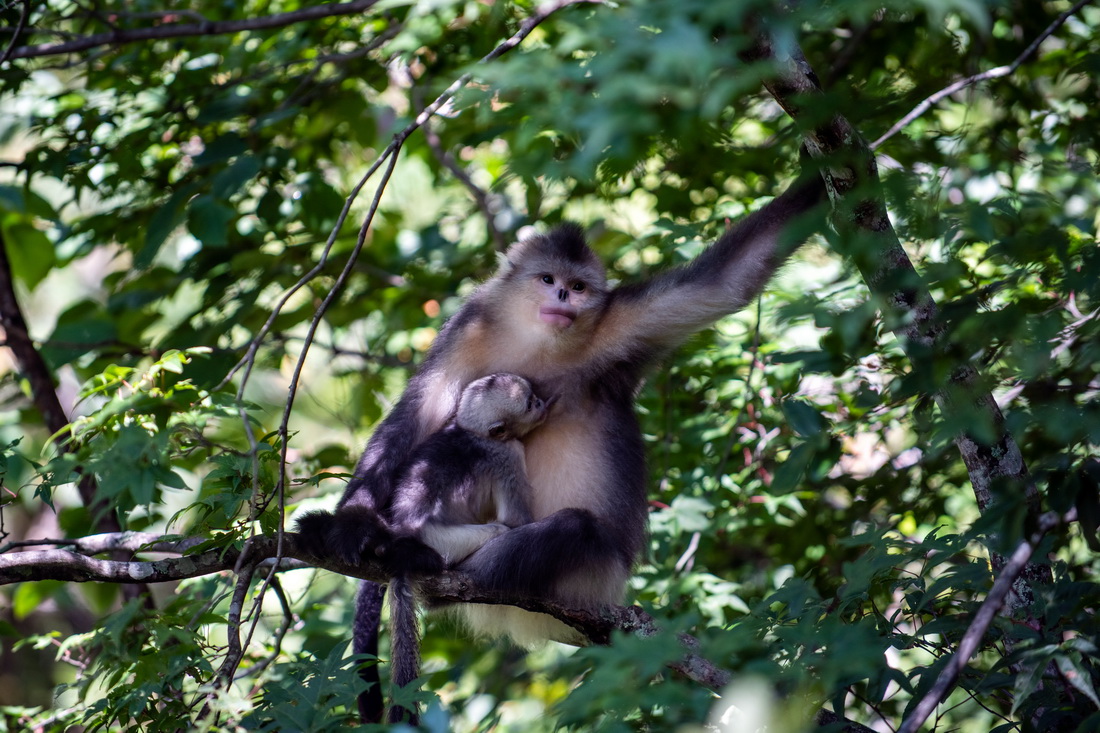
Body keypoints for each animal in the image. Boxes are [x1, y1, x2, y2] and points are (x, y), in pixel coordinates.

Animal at [380, 372, 554, 717]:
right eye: (530, 404)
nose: (541, 403)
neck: (470, 432)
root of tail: (404, 536)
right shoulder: (507, 454)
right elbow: (514, 521)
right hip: (444, 542)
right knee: (495, 530)